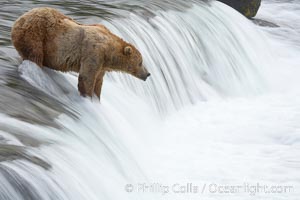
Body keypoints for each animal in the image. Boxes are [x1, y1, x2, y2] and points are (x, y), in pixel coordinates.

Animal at [11, 7, 150, 98]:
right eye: (140, 62)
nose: (148, 74)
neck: (109, 53)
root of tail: (18, 20)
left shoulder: (102, 65)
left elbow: (98, 81)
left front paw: (96, 97)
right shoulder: (93, 53)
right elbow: (87, 77)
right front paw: (88, 97)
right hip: (35, 35)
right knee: (35, 55)